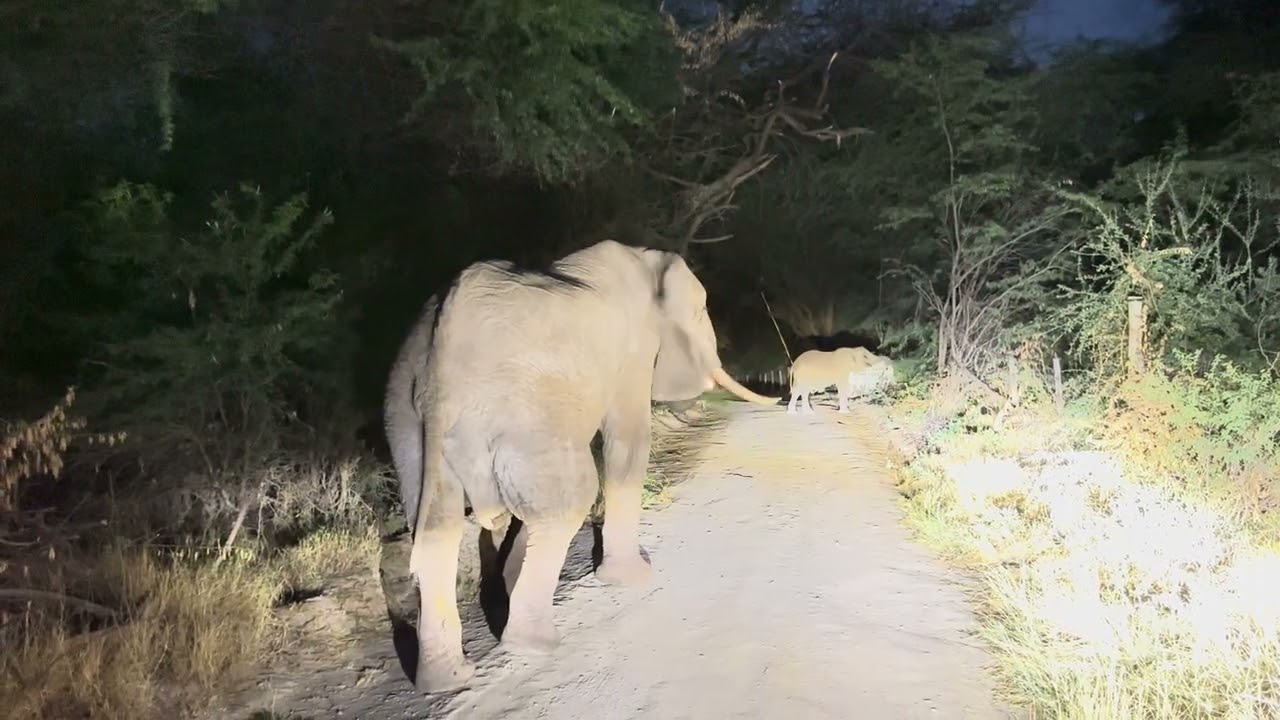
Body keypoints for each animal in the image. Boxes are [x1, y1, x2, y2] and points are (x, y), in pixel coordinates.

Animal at [382, 239, 779, 693]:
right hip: (524, 410)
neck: (647, 261)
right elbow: (627, 442)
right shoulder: (633, 352)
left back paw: (448, 680)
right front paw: (634, 578)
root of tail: (440, 360)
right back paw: (533, 644)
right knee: (568, 500)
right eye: (700, 311)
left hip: (407, 417)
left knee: (438, 528)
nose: (781, 397)